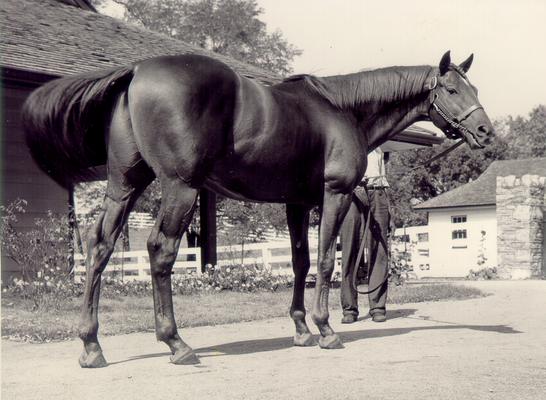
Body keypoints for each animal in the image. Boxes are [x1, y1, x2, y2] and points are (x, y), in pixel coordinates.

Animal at [23, 51, 492, 368]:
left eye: (475, 89)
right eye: (451, 90)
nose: (486, 133)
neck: (342, 109)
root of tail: (137, 71)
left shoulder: (296, 203)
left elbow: (301, 262)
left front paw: (301, 329)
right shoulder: (335, 195)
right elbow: (327, 260)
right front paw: (326, 330)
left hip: (124, 186)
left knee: (99, 247)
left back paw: (91, 346)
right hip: (179, 188)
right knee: (160, 251)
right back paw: (176, 343)